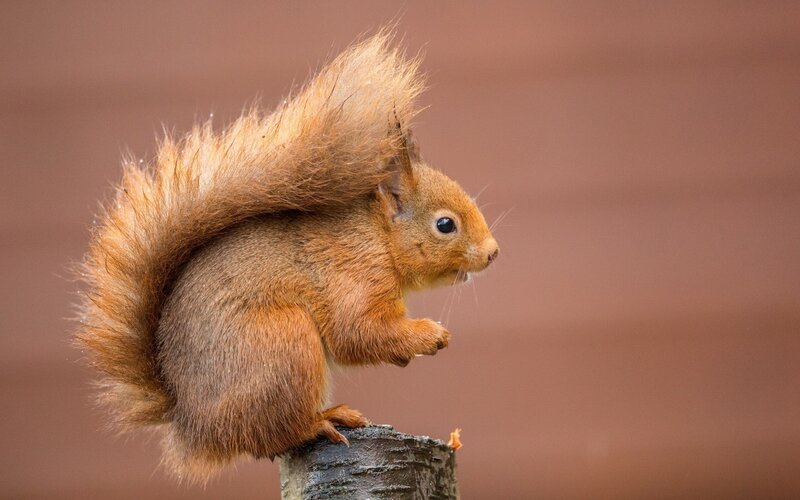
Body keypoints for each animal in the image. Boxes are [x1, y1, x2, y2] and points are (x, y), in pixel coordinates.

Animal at [75, 32, 499, 483]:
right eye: (445, 224)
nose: (493, 253)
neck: (378, 238)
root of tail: (195, 426)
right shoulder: (354, 274)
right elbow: (358, 332)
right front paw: (429, 334)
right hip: (284, 344)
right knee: (277, 434)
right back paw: (324, 420)